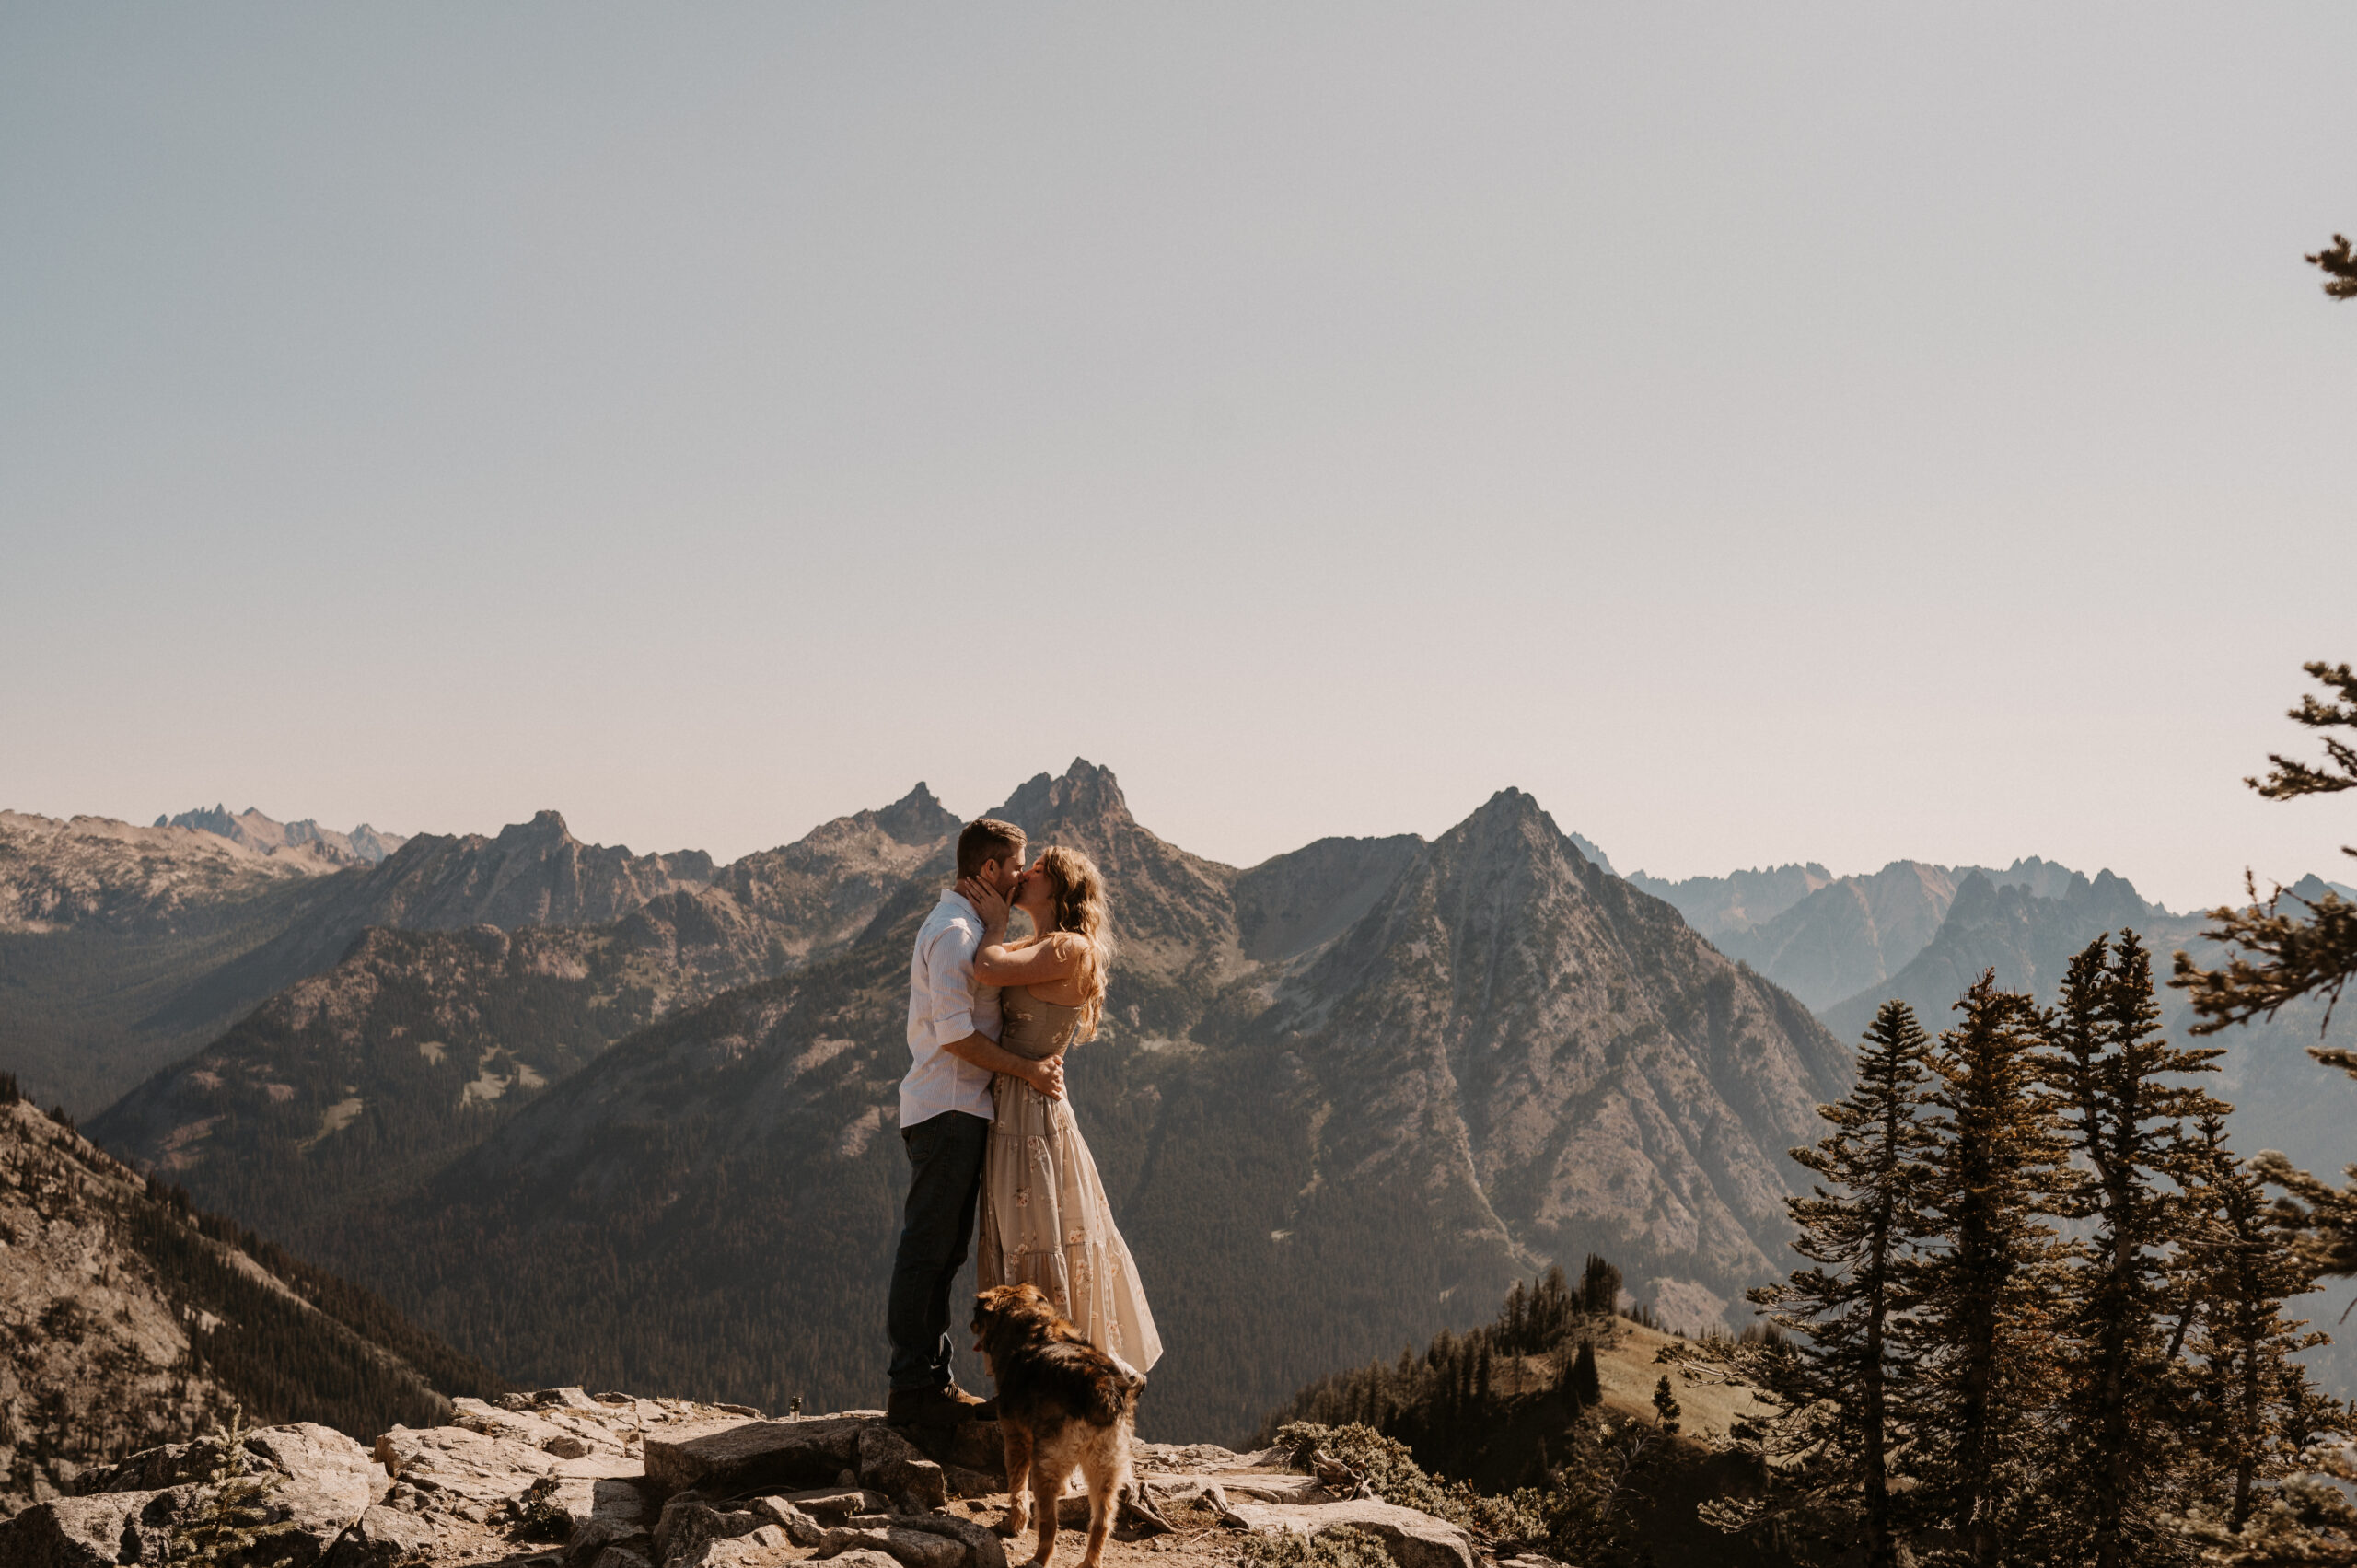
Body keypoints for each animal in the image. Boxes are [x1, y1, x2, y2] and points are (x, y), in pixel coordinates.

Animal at [970, 1283, 1145, 1565]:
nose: (971, 1325)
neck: (1027, 1321)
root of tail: (1100, 1389)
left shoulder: (1016, 1435)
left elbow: (1017, 1486)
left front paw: (1015, 1524)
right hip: (1108, 1468)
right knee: (1101, 1522)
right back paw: (1089, 1562)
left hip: (1045, 1463)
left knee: (1050, 1524)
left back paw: (1038, 1559)